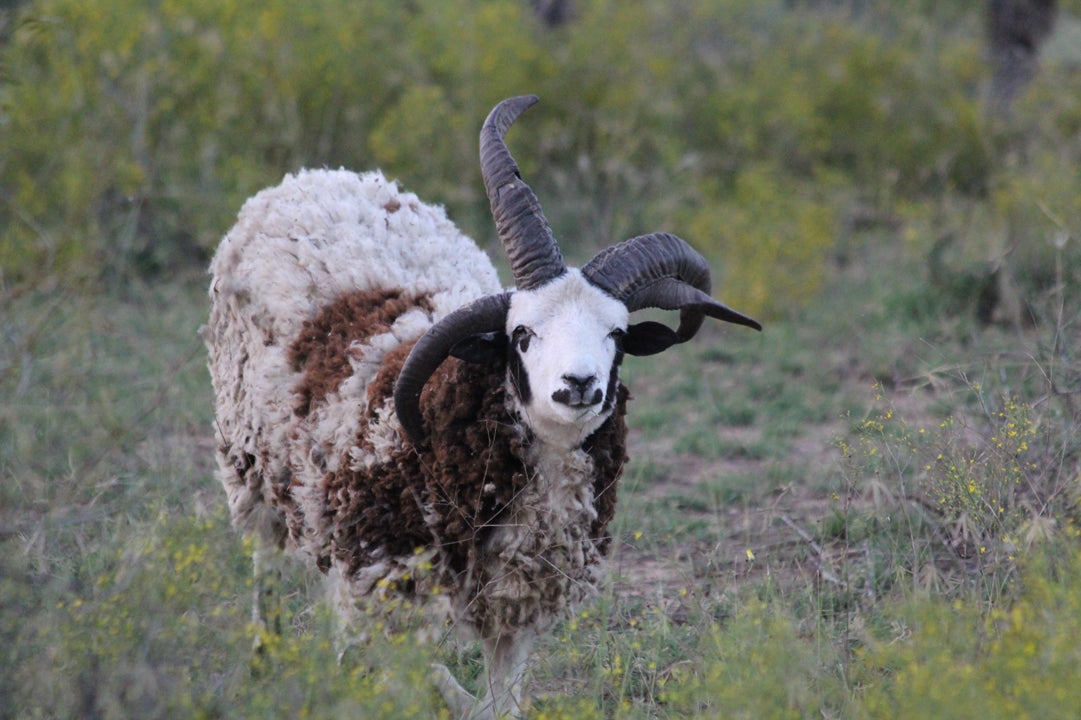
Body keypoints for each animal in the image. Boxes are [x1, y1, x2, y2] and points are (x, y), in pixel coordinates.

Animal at [203, 95, 761, 717]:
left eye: (617, 335)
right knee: (266, 565)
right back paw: (264, 659)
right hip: (250, 464)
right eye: (522, 335)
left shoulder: (516, 599)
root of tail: (318, 177)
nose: (579, 383)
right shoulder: (385, 583)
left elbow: (501, 703)